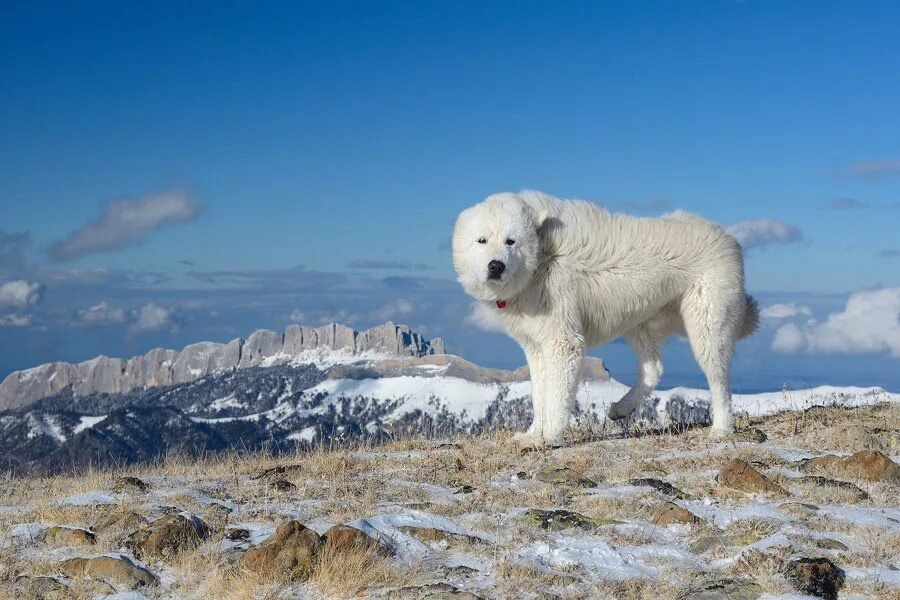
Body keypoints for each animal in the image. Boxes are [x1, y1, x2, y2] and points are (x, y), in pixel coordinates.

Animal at [454, 190, 756, 448]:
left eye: (511, 241)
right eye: (482, 240)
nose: (496, 266)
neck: (542, 259)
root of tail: (728, 238)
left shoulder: (563, 343)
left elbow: (555, 396)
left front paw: (550, 436)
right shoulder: (536, 347)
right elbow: (539, 396)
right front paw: (533, 434)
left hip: (706, 328)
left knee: (719, 381)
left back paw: (721, 429)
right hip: (640, 324)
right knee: (654, 370)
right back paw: (621, 408)